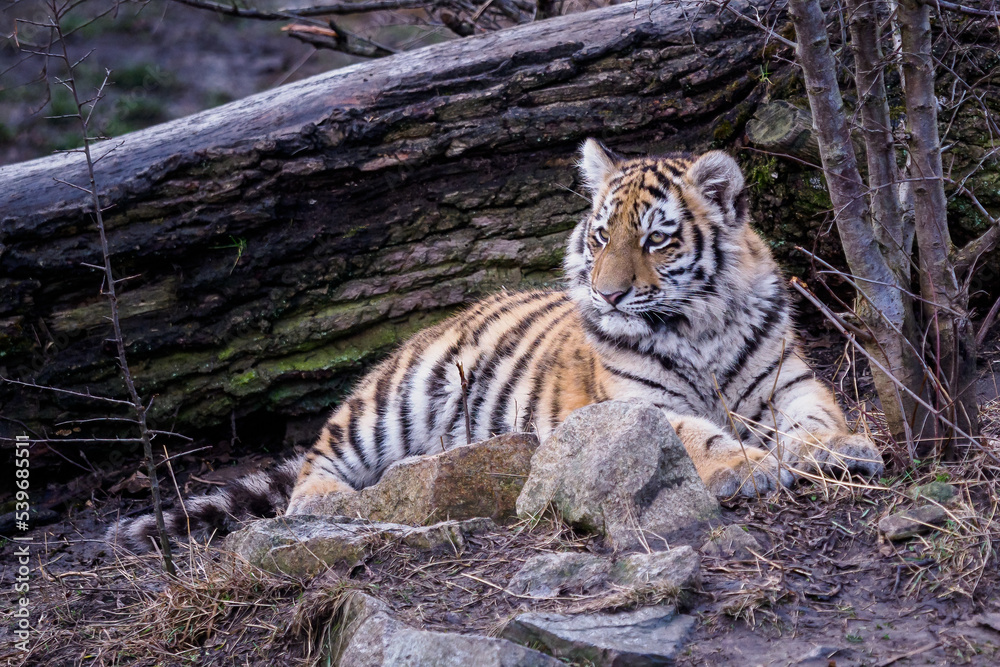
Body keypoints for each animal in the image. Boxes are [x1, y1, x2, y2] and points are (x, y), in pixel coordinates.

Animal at [111, 140, 883, 552]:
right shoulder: (634, 404)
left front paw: (838, 449)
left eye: (656, 239)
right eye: (600, 236)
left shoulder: (786, 378)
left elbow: (816, 414)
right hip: (391, 402)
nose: (606, 294)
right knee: (312, 470)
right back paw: (338, 503)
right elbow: (699, 436)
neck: (698, 325)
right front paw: (749, 466)